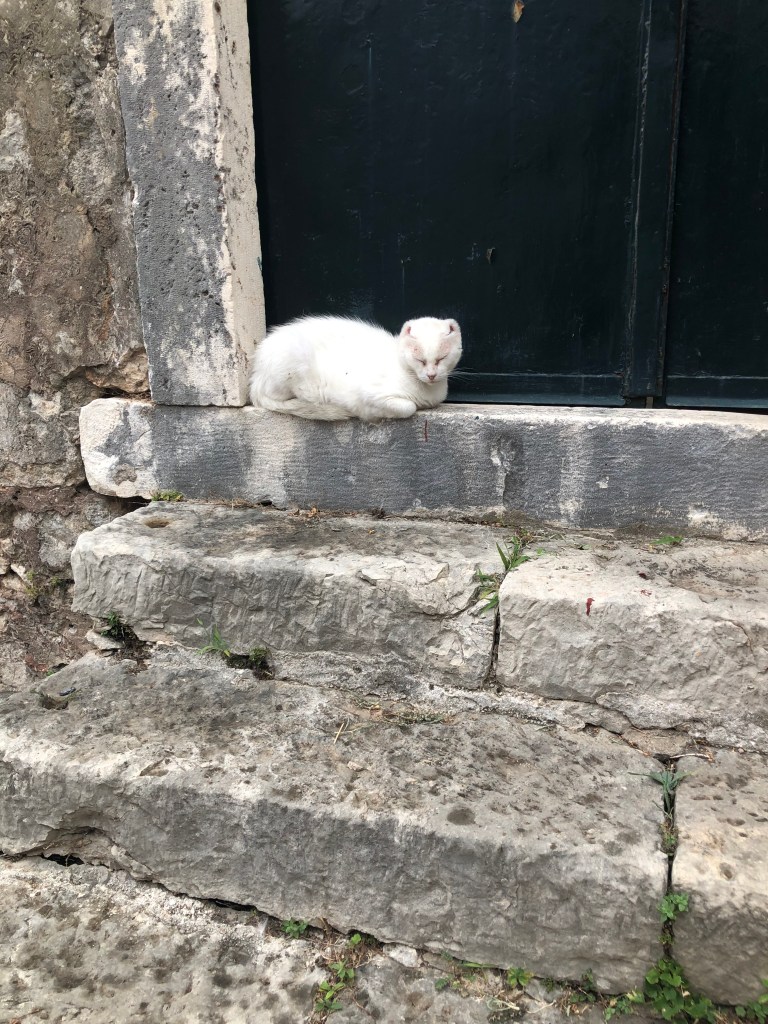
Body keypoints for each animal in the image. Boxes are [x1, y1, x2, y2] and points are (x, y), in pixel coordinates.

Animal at [249, 315, 462, 421]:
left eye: (442, 358)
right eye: (420, 360)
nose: (431, 375)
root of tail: (256, 376)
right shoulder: (371, 394)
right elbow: (408, 407)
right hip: (294, 356)